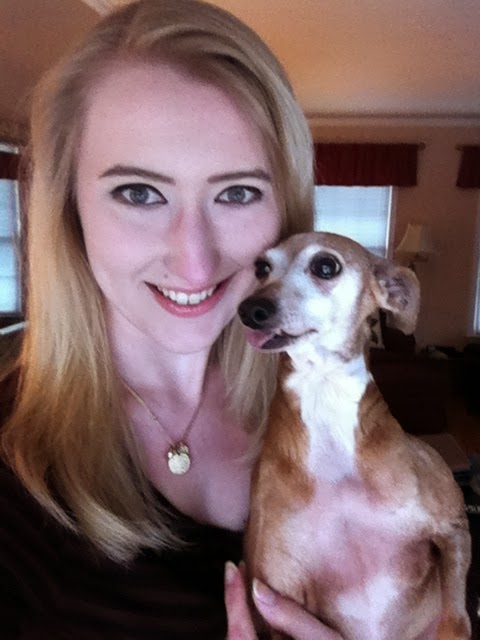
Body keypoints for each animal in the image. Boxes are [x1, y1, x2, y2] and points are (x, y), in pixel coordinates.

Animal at [238, 232, 471, 640]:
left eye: (325, 265)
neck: (323, 394)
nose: (250, 309)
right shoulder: (277, 596)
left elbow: (456, 618)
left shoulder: (454, 527)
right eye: (261, 267)